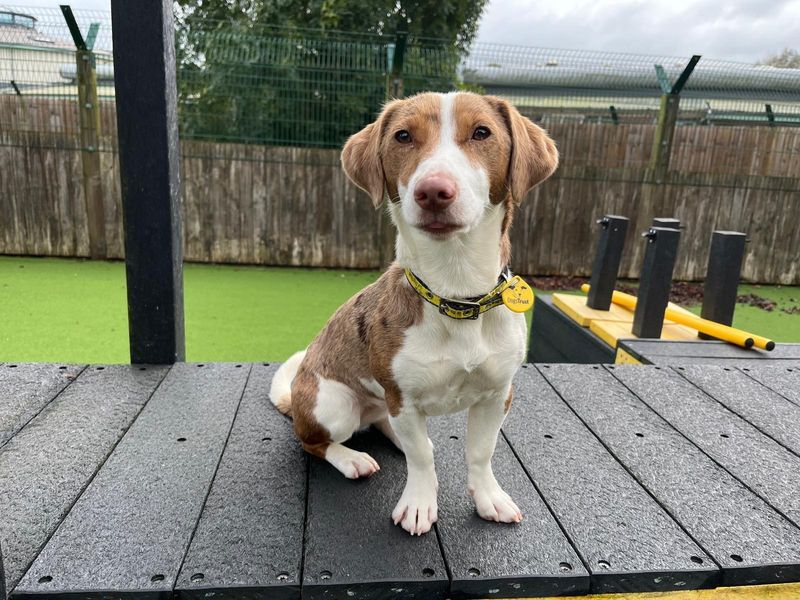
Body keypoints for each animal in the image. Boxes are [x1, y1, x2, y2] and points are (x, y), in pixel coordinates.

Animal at [268, 91, 556, 536]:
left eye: (482, 132)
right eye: (403, 136)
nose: (433, 190)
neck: (456, 294)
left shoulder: (497, 395)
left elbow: (481, 452)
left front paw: (488, 497)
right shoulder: (401, 396)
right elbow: (421, 459)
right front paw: (419, 504)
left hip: (382, 405)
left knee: (387, 425)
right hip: (336, 407)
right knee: (314, 441)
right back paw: (350, 459)